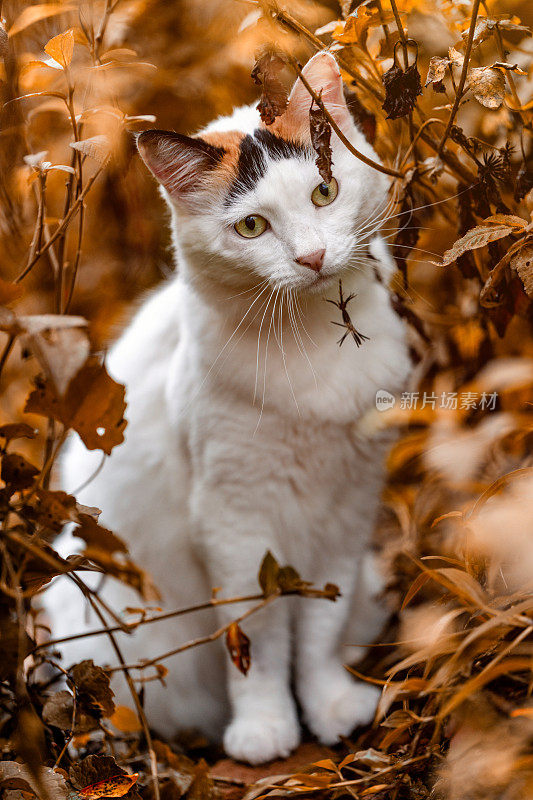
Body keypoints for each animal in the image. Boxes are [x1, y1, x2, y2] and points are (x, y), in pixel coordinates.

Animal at [45, 53, 412, 764]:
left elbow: (321, 627)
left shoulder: (348, 509)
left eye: (325, 193)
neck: (315, 342)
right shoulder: (233, 520)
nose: (312, 258)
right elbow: (258, 637)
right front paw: (265, 726)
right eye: (251, 227)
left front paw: (330, 704)